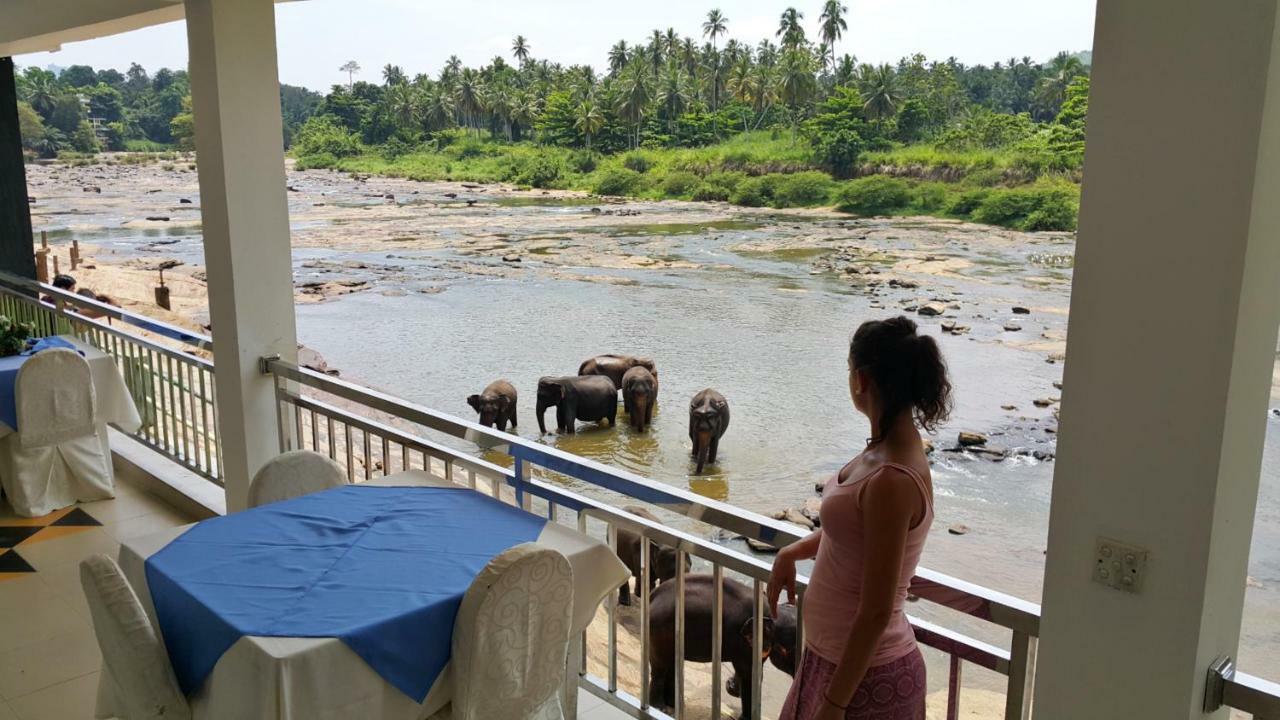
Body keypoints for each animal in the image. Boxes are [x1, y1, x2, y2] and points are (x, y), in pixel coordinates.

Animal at [650, 571, 768, 717]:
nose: (729, 685)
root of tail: (653, 596)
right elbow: (749, 672)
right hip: (660, 629)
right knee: (661, 666)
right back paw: (660, 708)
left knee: (670, 664)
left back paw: (672, 704)